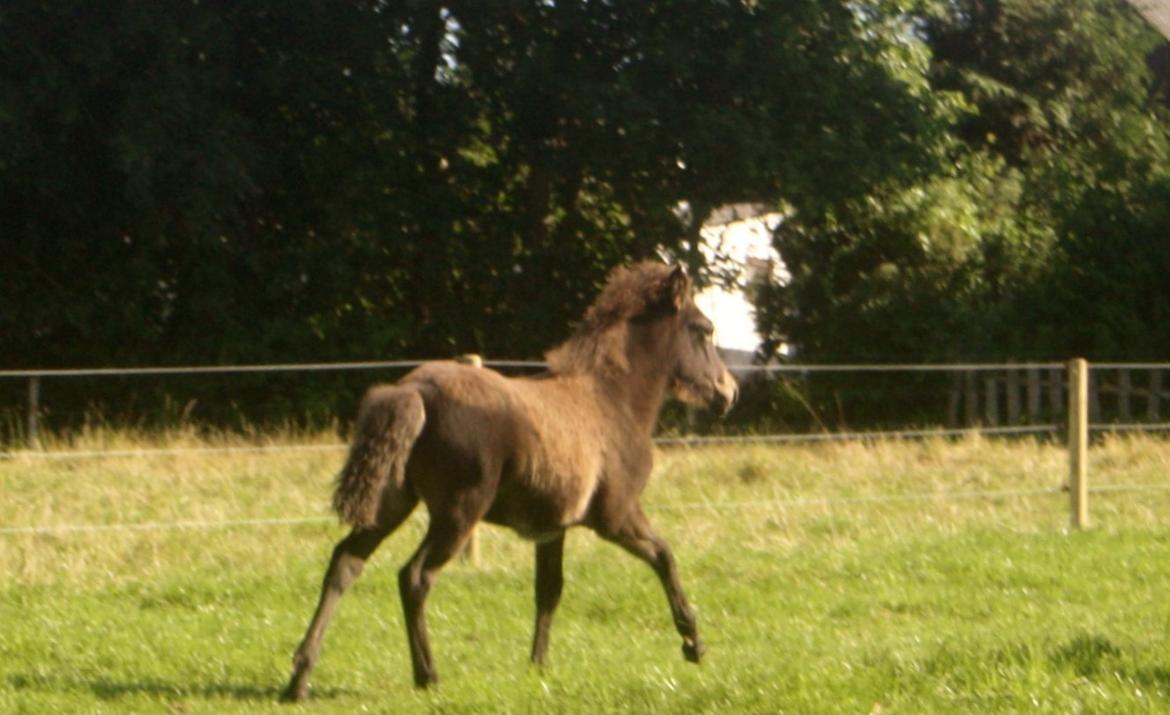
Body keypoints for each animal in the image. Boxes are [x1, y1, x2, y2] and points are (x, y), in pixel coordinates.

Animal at [279, 262, 734, 697]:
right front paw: (694, 643)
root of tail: (416, 390)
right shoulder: (616, 516)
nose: (728, 392)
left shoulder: (552, 528)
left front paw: (539, 666)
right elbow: (664, 556)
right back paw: (427, 676)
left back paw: (299, 679)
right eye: (705, 330)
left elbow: (549, 589)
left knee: (345, 563)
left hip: (393, 502)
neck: (612, 400)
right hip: (459, 511)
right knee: (415, 577)